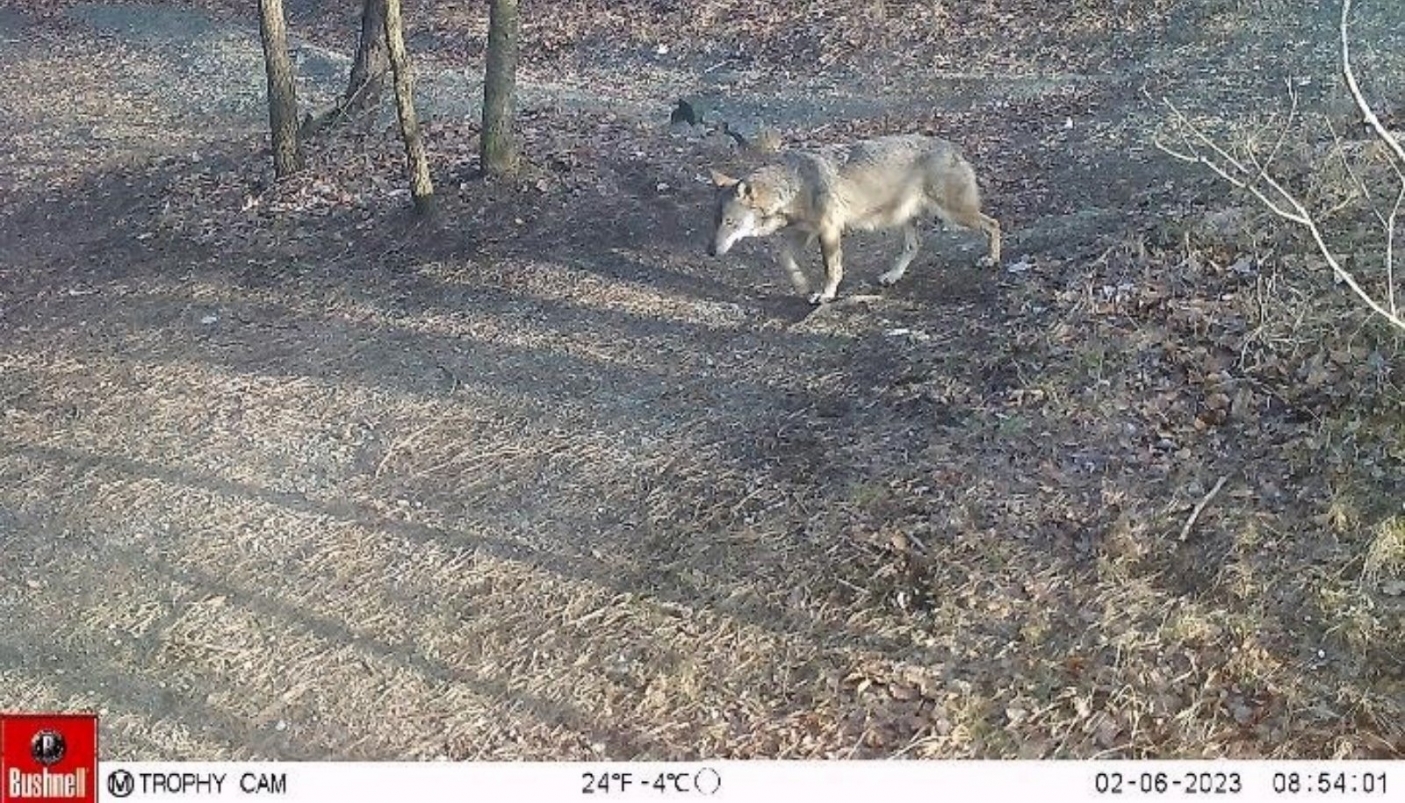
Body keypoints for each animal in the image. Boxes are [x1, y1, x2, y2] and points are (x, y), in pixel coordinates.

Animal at [707, 134, 1001, 304]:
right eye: (715, 221)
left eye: (730, 223)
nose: (709, 251)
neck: (795, 185)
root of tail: (952, 147)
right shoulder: (803, 231)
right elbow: (785, 258)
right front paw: (802, 286)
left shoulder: (828, 230)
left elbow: (831, 269)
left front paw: (826, 294)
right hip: (905, 217)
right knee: (914, 246)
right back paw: (892, 276)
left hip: (954, 214)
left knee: (994, 224)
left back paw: (992, 259)